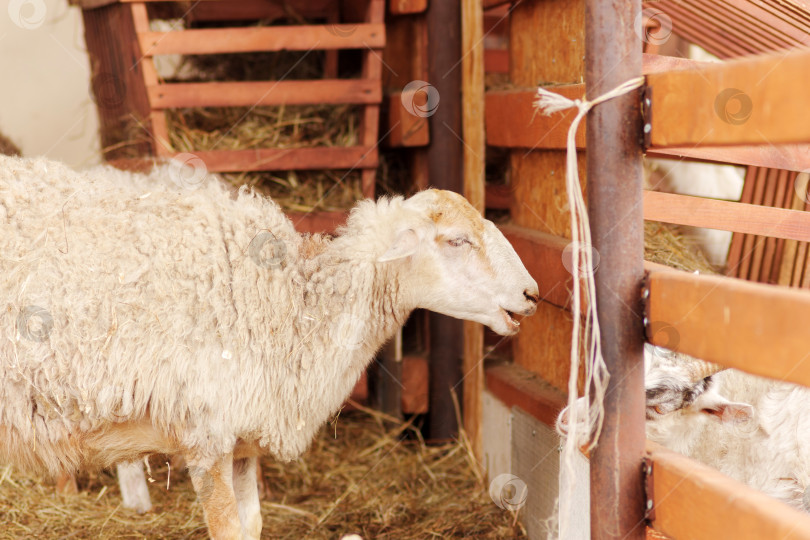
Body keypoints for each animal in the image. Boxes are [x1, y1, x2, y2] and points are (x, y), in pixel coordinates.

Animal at [0, 155, 539, 539]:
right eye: (457, 240)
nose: (532, 294)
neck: (287, 304)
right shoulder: (207, 434)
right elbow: (228, 530)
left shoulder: (244, 437)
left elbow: (254, 525)